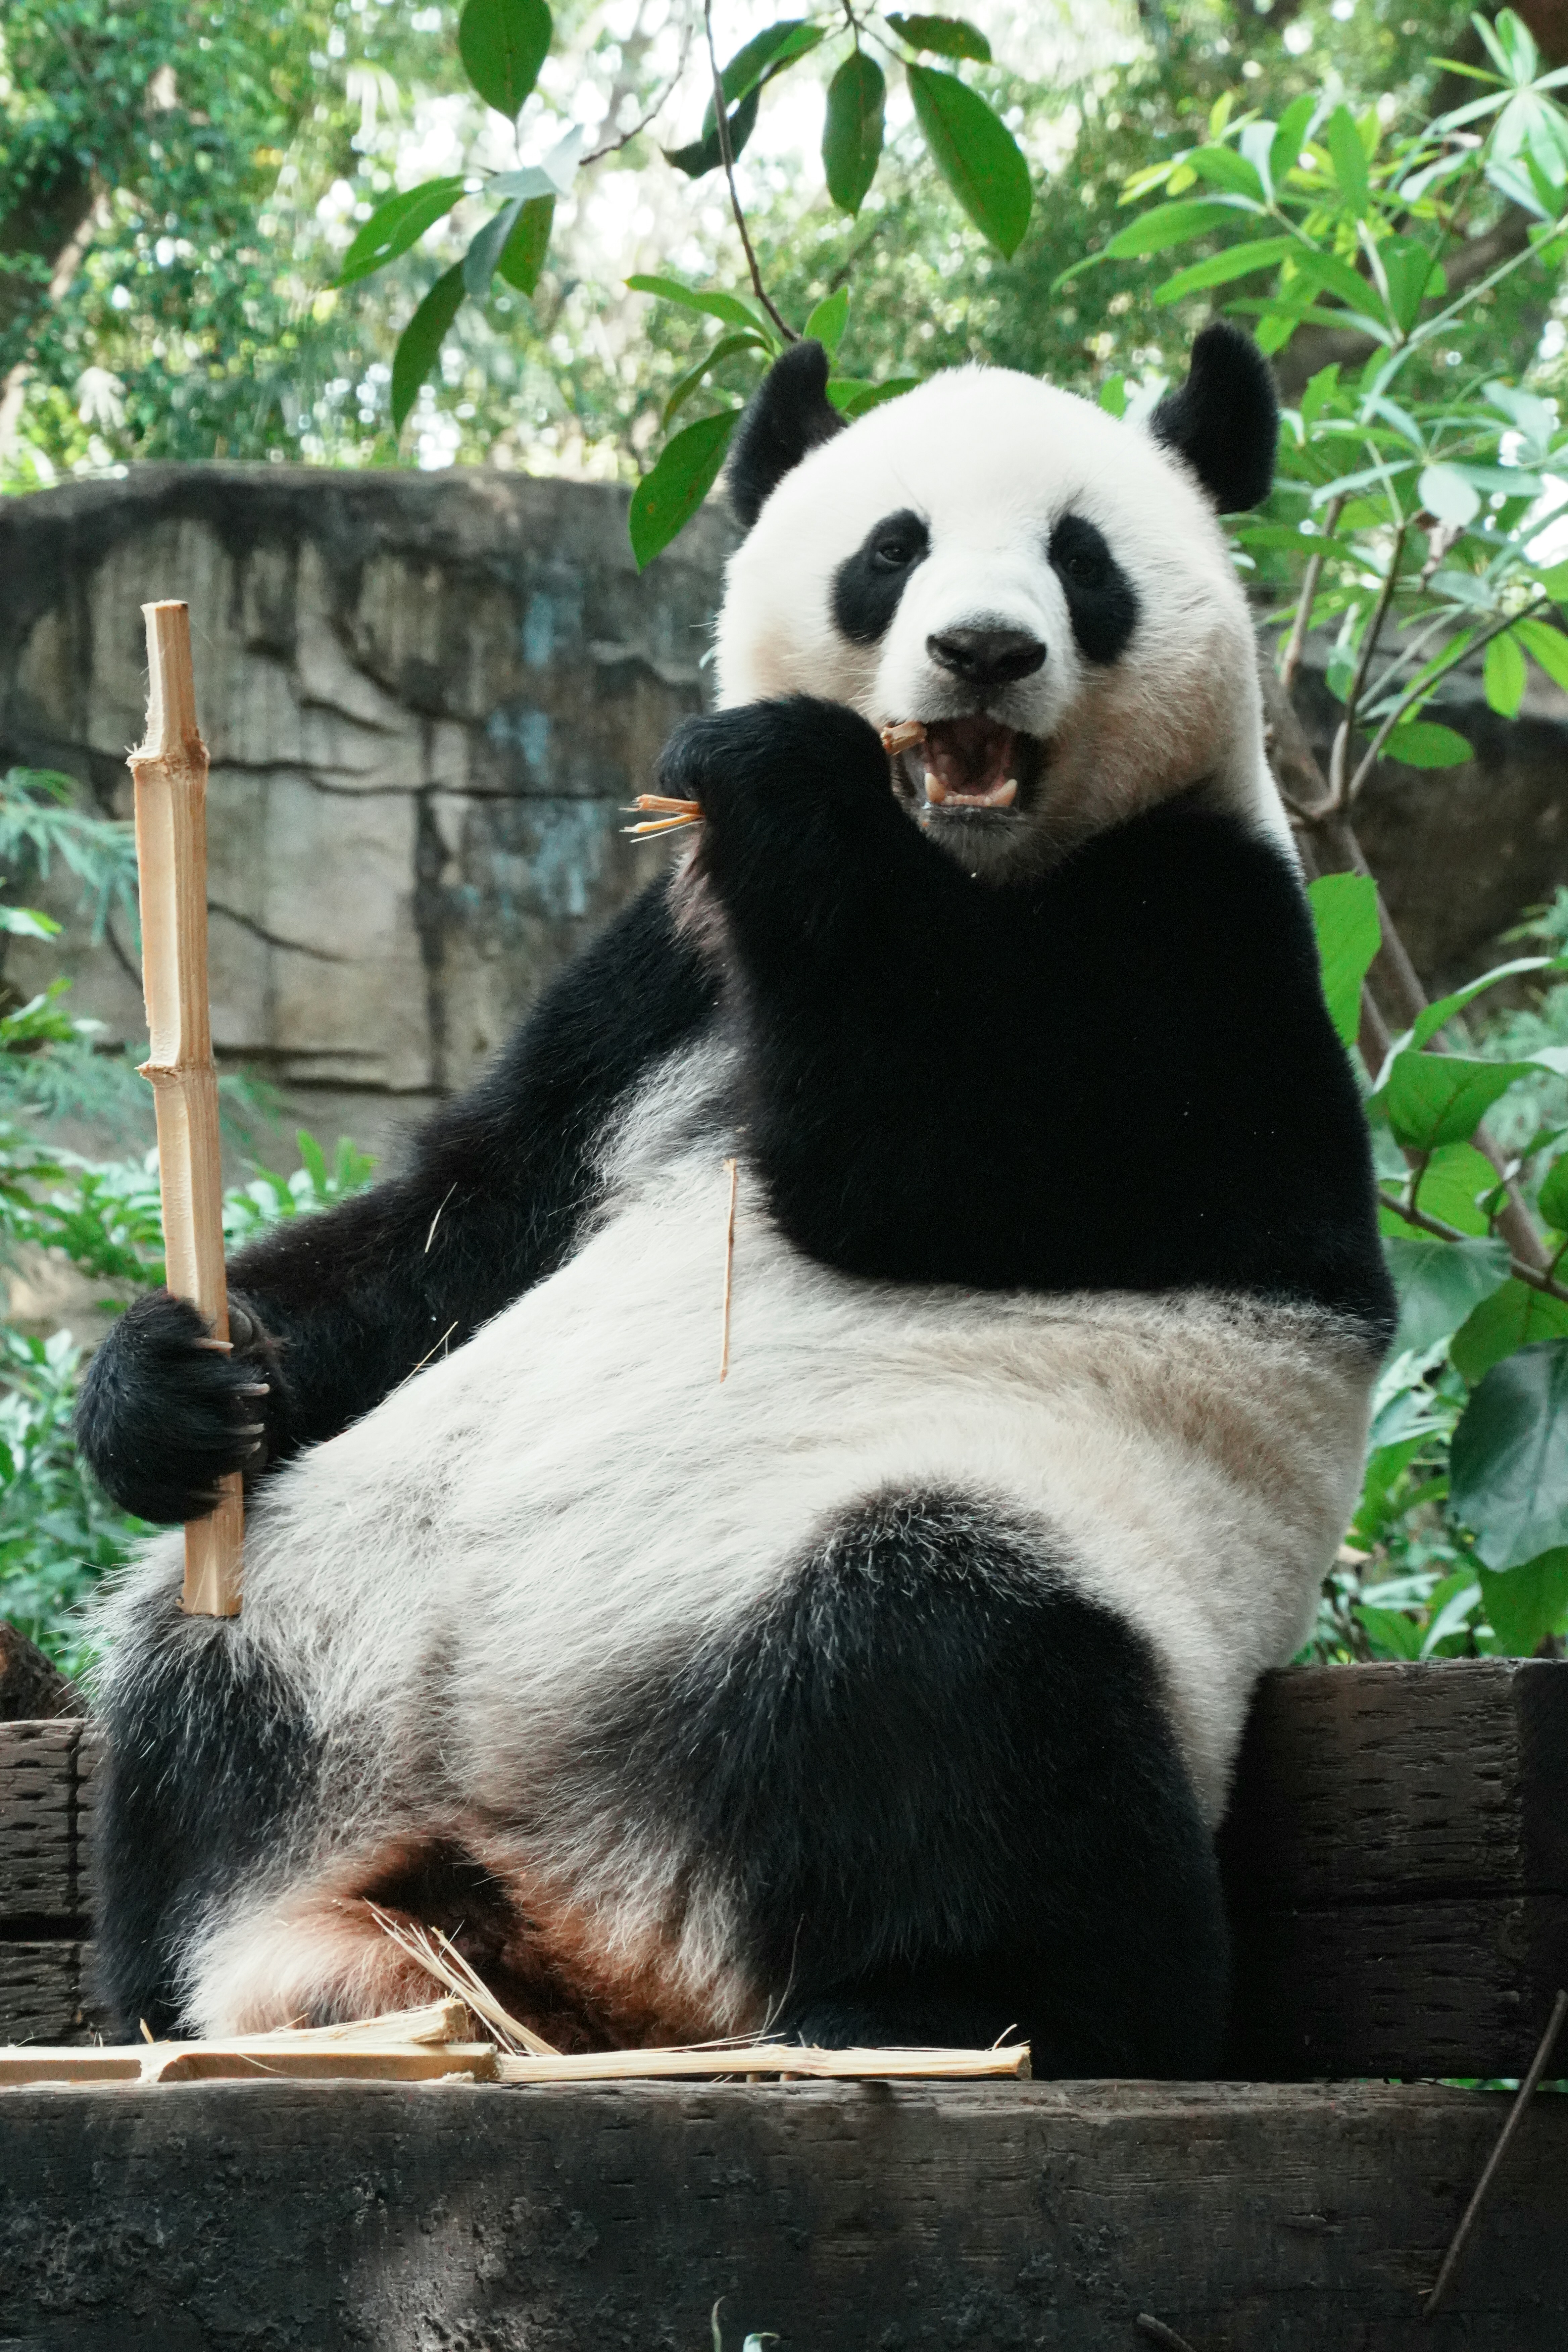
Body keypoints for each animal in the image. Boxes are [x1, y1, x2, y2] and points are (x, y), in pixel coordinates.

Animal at [77, 323, 1393, 2073]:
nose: (981, 652)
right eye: (891, 549)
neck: (963, 861)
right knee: (187, 1691)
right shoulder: (657, 976)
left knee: (957, 1675)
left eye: (1080, 560)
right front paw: (165, 1383)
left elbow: (963, 1161)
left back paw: (965, 2002)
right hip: (330, 1621)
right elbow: (469, 1218)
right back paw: (236, 1988)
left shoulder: (1210, 937)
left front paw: (787, 784)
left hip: (999, 1559)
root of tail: (577, 1918)